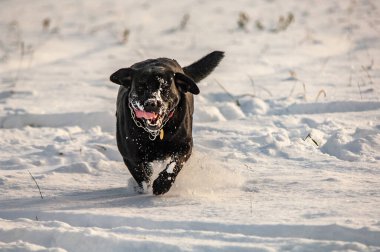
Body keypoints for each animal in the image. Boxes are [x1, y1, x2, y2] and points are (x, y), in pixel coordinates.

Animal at [109, 50, 223, 194]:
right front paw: (145, 188)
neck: (155, 135)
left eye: (164, 87)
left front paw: (162, 183)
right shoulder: (130, 156)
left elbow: (175, 164)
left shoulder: (185, 146)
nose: (152, 103)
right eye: (141, 86)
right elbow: (141, 175)